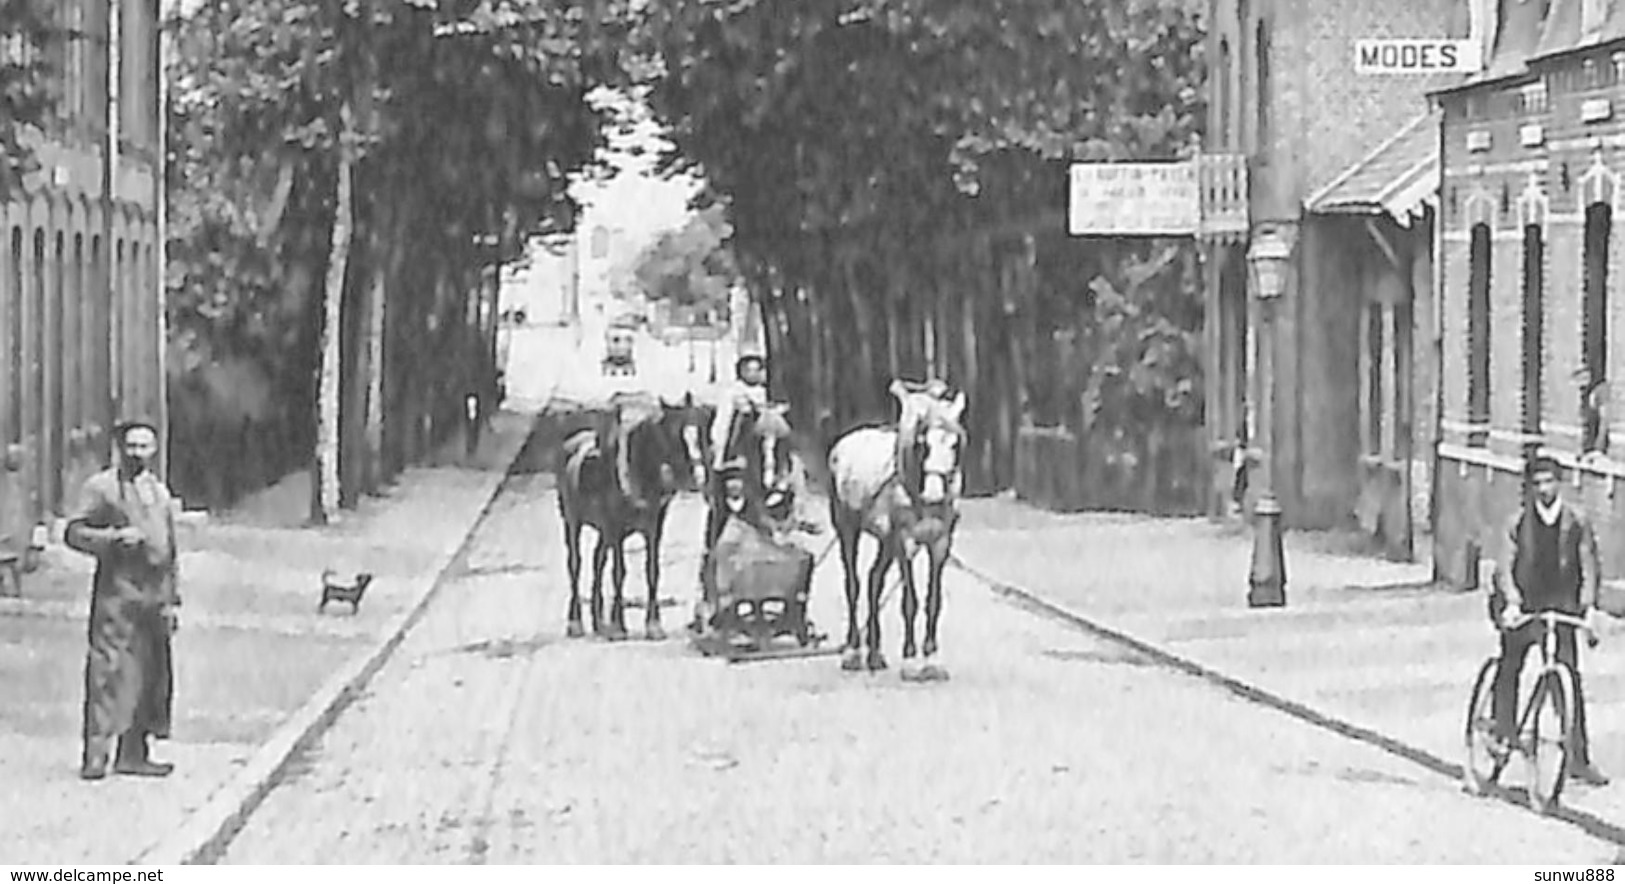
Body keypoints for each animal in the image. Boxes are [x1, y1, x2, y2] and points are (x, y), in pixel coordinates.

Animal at [555, 390, 702, 640]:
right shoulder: (615, 527)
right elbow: (619, 572)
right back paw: (575, 623)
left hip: (604, 531)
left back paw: (599, 622)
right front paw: (618, 625)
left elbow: (652, 570)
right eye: (668, 434)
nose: (691, 477)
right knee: (575, 565)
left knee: (597, 560)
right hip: (572, 522)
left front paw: (653, 625)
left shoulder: (653, 526)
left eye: (694, 432)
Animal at [825, 378, 962, 676]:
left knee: (874, 581)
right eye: (923, 442)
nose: (934, 495)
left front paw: (932, 660)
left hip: (886, 541)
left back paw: (875, 654)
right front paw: (910, 661)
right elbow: (910, 600)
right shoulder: (905, 541)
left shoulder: (940, 543)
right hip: (847, 527)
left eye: (955, 444)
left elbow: (933, 601)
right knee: (853, 584)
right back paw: (853, 651)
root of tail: (843, 443)